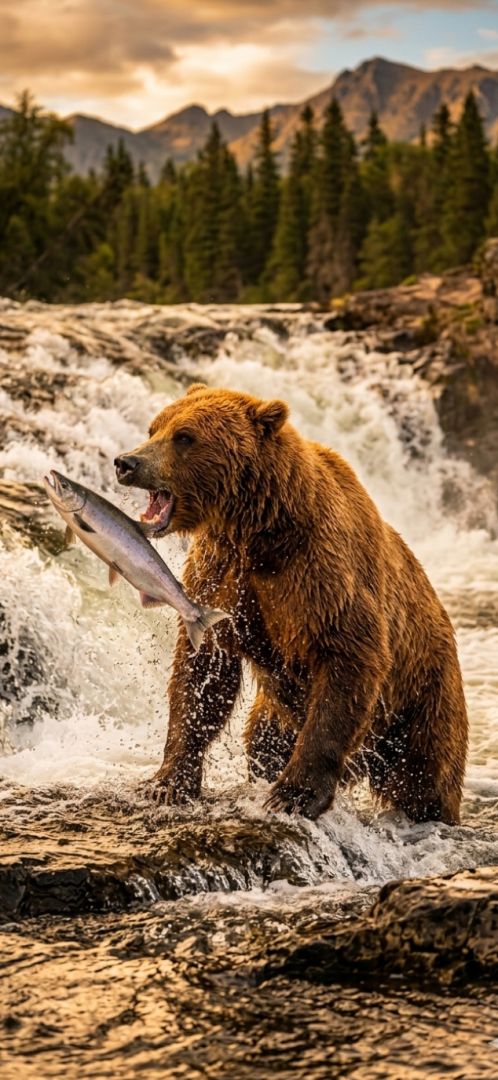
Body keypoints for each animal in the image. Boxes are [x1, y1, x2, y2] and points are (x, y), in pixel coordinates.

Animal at [115, 384, 468, 823]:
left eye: (184, 436)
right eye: (155, 427)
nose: (127, 462)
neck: (256, 527)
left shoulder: (320, 575)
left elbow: (348, 658)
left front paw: (294, 794)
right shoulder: (221, 575)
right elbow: (202, 673)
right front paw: (167, 782)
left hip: (423, 698)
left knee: (424, 776)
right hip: (276, 711)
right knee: (264, 743)